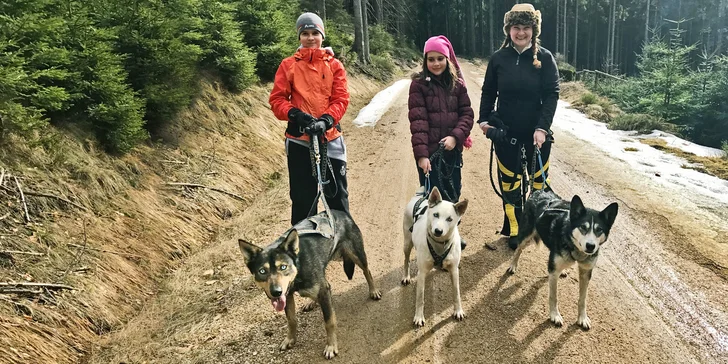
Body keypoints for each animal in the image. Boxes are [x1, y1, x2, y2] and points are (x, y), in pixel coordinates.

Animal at [400, 185, 470, 328]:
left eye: (450, 219)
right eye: (436, 215)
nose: (438, 231)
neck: (439, 244)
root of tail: (420, 198)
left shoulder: (454, 271)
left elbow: (457, 293)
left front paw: (458, 311)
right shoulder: (421, 273)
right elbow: (420, 297)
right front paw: (419, 317)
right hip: (407, 243)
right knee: (406, 260)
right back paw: (406, 276)